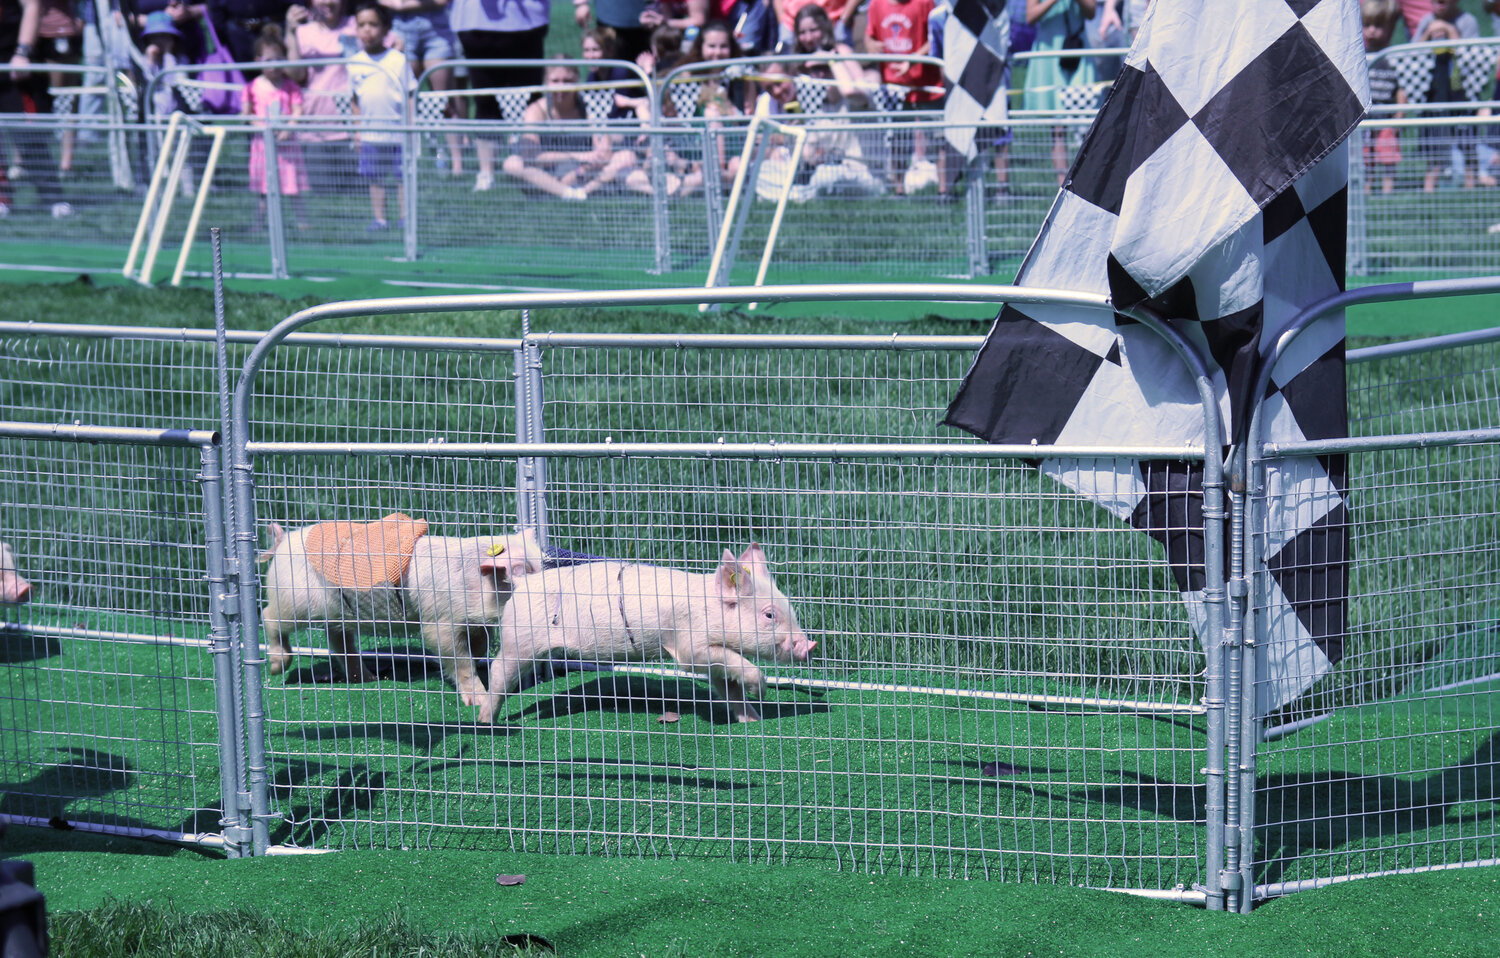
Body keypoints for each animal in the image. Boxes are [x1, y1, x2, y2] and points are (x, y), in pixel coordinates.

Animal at [477, 542, 810, 722]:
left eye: (790, 609)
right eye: (769, 615)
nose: (809, 644)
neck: (708, 607)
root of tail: (523, 583)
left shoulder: (713, 657)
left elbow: (728, 687)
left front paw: (753, 720)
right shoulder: (689, 645)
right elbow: (721, 664)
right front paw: (762, 689)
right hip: (518, 639)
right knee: (498, 671)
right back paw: (487, 722)